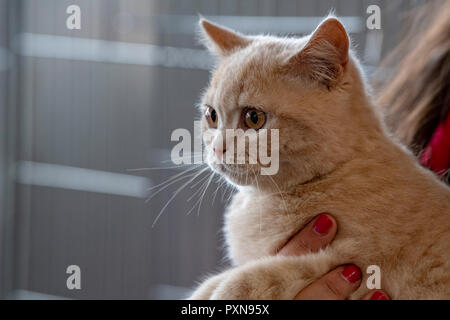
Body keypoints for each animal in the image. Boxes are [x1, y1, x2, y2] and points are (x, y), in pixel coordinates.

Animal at [189, 16, 450, 298]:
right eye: (211, 115)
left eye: (254, 118)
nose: (217, 148)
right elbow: (214, 281)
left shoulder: (354, 265)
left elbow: (250, 278)